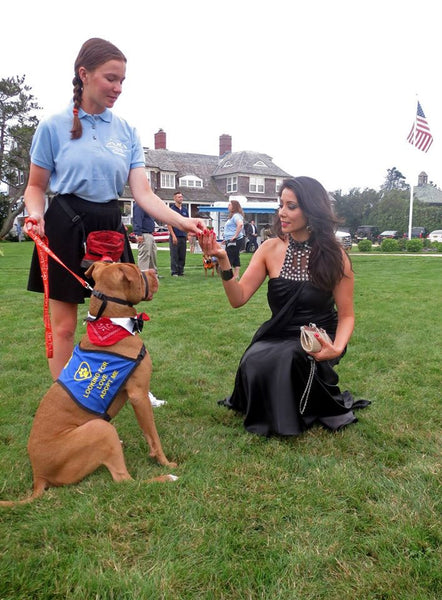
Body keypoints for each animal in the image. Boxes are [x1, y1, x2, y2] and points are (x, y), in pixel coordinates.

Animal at [0, 262, 176, 506]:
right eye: (136, 270)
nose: (154, 272)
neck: (111, 324)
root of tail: (38, 476)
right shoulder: (139, 395)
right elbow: (153, 436)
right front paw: (165, 462)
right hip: (101, 428)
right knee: (124, 481)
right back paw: (167, 477)